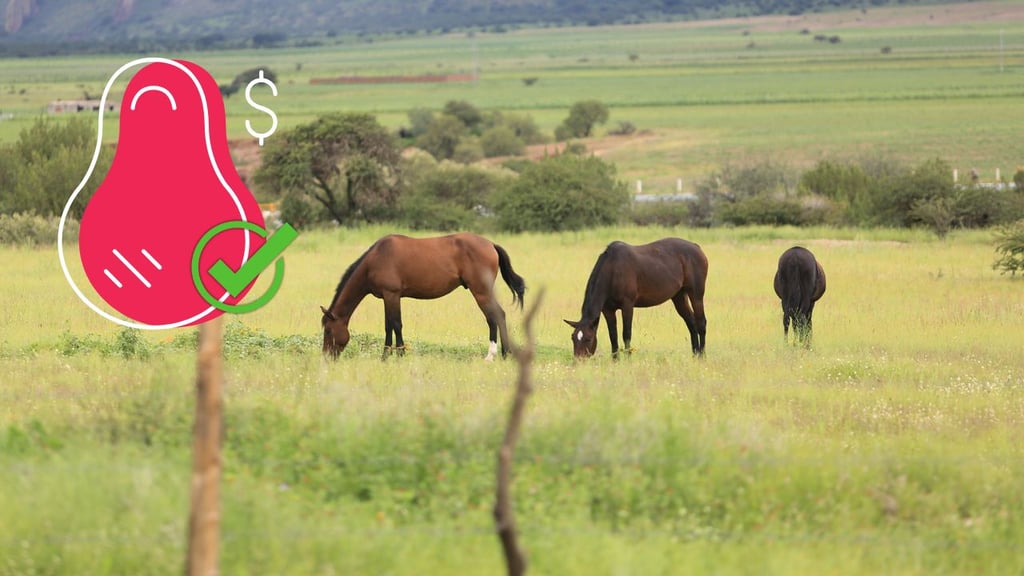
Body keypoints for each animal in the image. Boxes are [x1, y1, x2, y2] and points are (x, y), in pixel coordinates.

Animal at [320, 233, 526, 360]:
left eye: (328, 330)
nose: (326, 356)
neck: (376, 258)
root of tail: (490, 244)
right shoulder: (389, 297)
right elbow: (390, 325)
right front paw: (389, 355)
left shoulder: (392, 294)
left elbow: (394, 325)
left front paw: (394, 355)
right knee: (498, 316)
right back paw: (504, 354)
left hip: (481, 292)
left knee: (494, 316)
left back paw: (493, 355)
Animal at [563, 238, 708, 359]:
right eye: (573, 338)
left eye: (588, 339)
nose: (578, 361)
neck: (613, 269)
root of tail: (696, 247)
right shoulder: (608, 310)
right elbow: (613, 335)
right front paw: (615, 360)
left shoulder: (627, 306)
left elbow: (626, 334)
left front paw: (627, 359)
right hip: (679, 296)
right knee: (691, 322)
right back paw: (694, 354)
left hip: (696, 294)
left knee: (701, 322)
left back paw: (702, 355)